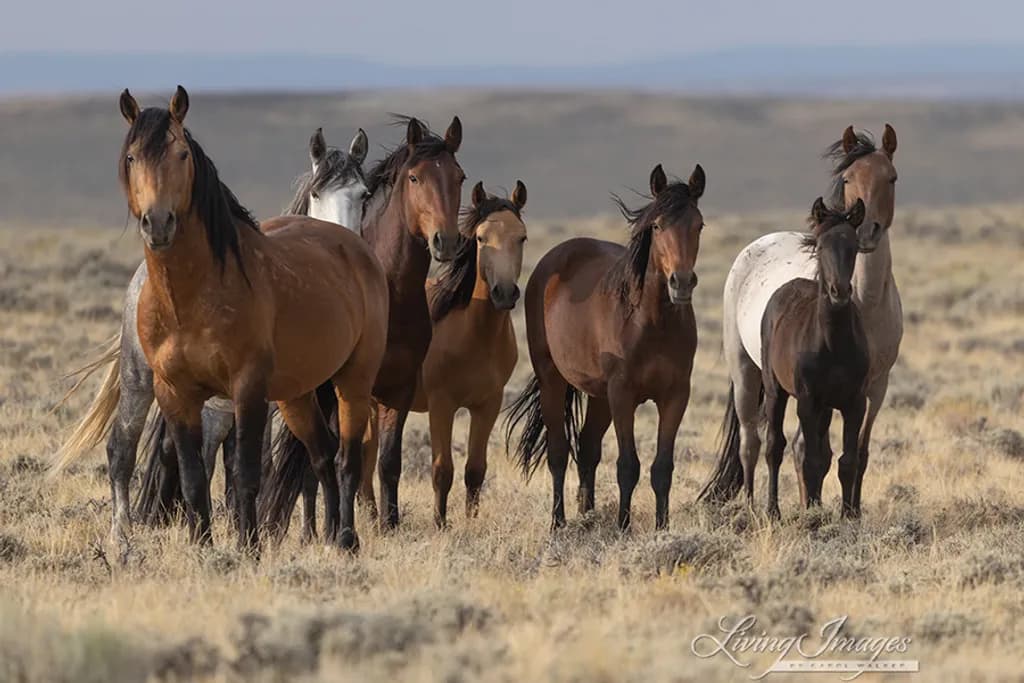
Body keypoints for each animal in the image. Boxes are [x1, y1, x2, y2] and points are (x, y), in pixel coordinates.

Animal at [51, 123, 371, 549]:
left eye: (364, 194)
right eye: (317, 193)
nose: (344, 243)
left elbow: (304, 461)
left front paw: (314, 532)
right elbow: (255, 464)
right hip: (143, 381)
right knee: (127, 449)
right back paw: (130, 536)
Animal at [258, 115, 466, 537]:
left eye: (459, 177)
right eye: (415, 178)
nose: (446, 241)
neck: (392, 290)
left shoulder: (398, 388)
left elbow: (388, 461)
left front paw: (389, 523)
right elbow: (333, 460)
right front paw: (335, 527)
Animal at [358, 180, 528, 529]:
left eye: (522, 237)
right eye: (481, 238)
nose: (504, 293)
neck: (473, 333)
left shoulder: (487, 405)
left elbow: (475, 470)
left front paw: (471, 522)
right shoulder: (442, 405)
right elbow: (442, 469)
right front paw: (440, 523)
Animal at [505, 163, 705, 531]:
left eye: (699, 225)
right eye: (657, 226)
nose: (681, 283)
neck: (651, 322)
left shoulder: (675, 395)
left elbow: (662, 468)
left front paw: (662, 528)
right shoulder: (623, 394)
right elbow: (628, 466)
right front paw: (623, 527)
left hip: (599, 396)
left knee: (587, 448)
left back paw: (588, 515)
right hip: (554, 380)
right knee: (558, 452)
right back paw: (558, 522)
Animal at [761, 198, 869, 518]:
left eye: (854, 245)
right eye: (821, 246)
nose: (839, 292)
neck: (833, 343)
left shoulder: (854, 402)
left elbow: (846, 462)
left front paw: (847, 516)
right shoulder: (807, 401)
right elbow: (809, 460)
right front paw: (812, 516)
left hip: (825, 407)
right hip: (776, 391)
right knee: (774, 447)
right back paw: (773, 511)